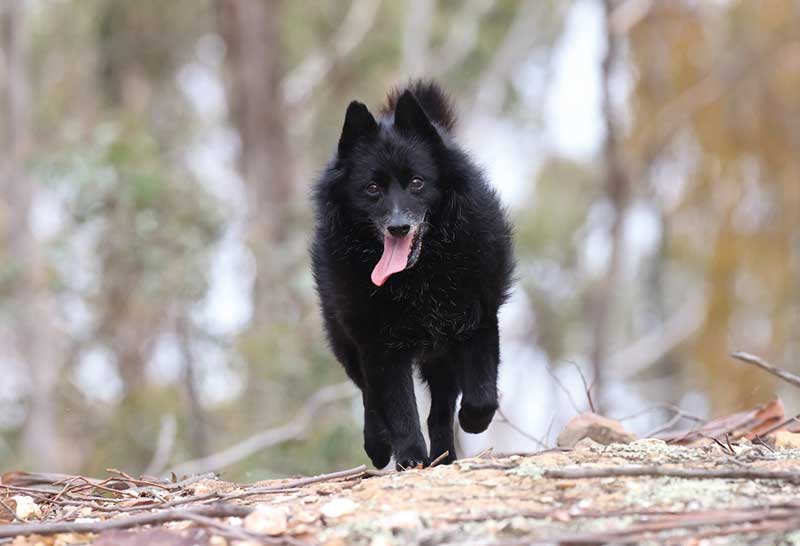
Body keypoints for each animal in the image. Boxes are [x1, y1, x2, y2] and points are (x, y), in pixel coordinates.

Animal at [310, 81, 516, 468]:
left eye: (417, 182)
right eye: (372, 188)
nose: (398, 227)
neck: (421, 276)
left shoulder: (477, 320)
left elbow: (481, 396)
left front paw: (472, 421)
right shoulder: (380, 345)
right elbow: (399, 407)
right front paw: (410, 457)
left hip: (440, 357)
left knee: (440, 409)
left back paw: (444, 454)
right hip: (346, 341)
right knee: (369, 394)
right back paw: (379, 445)